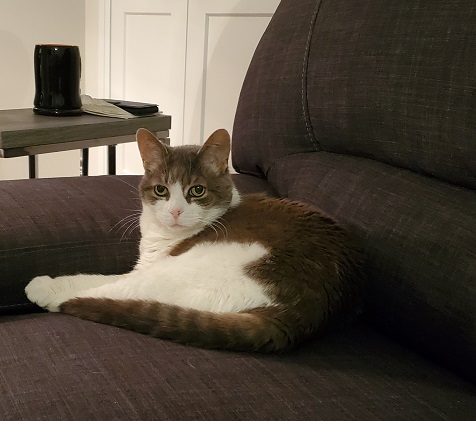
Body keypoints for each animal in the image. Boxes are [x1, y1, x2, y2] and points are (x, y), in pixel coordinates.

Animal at [26, 128, 364, 352]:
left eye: (197, 191)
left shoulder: (154, 266)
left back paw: (52, 295)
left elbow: (100, 281)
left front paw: (48, 286)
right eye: (161, 189)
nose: (176, 211)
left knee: (118, 292)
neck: (165, 237)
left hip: (198, 267)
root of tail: (306, 309)